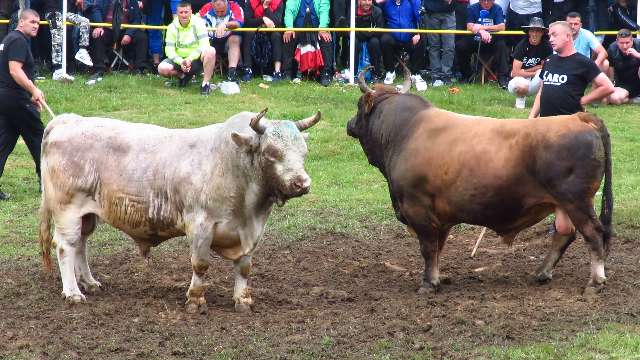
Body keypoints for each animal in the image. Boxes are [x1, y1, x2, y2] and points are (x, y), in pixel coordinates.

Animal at [38, 109, 320, 312]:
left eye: (304, 151)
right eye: (272, 152)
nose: (302, 183)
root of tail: (68, 120)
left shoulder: (250, 232)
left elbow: (244, 267)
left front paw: (243, 300)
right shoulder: (201, 226)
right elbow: (200, 264)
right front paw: (196, 300)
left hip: (87, 214)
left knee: (81, 244)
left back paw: (90, 282)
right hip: (67, 210)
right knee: (65, 246)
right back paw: (73, 292)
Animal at [348, 69, 612, 292]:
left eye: (359, 106)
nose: (349, 124)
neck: (406, 131)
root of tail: (578, 118)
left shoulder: (418, 208)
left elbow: (428, 248)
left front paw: (428, 283)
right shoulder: (441, 217)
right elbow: (438, 248)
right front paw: (438, 277)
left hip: (576, 201)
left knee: (594, 234)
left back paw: (595, 281)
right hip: (563, 204)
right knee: (565, 234)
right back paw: (542, 273)